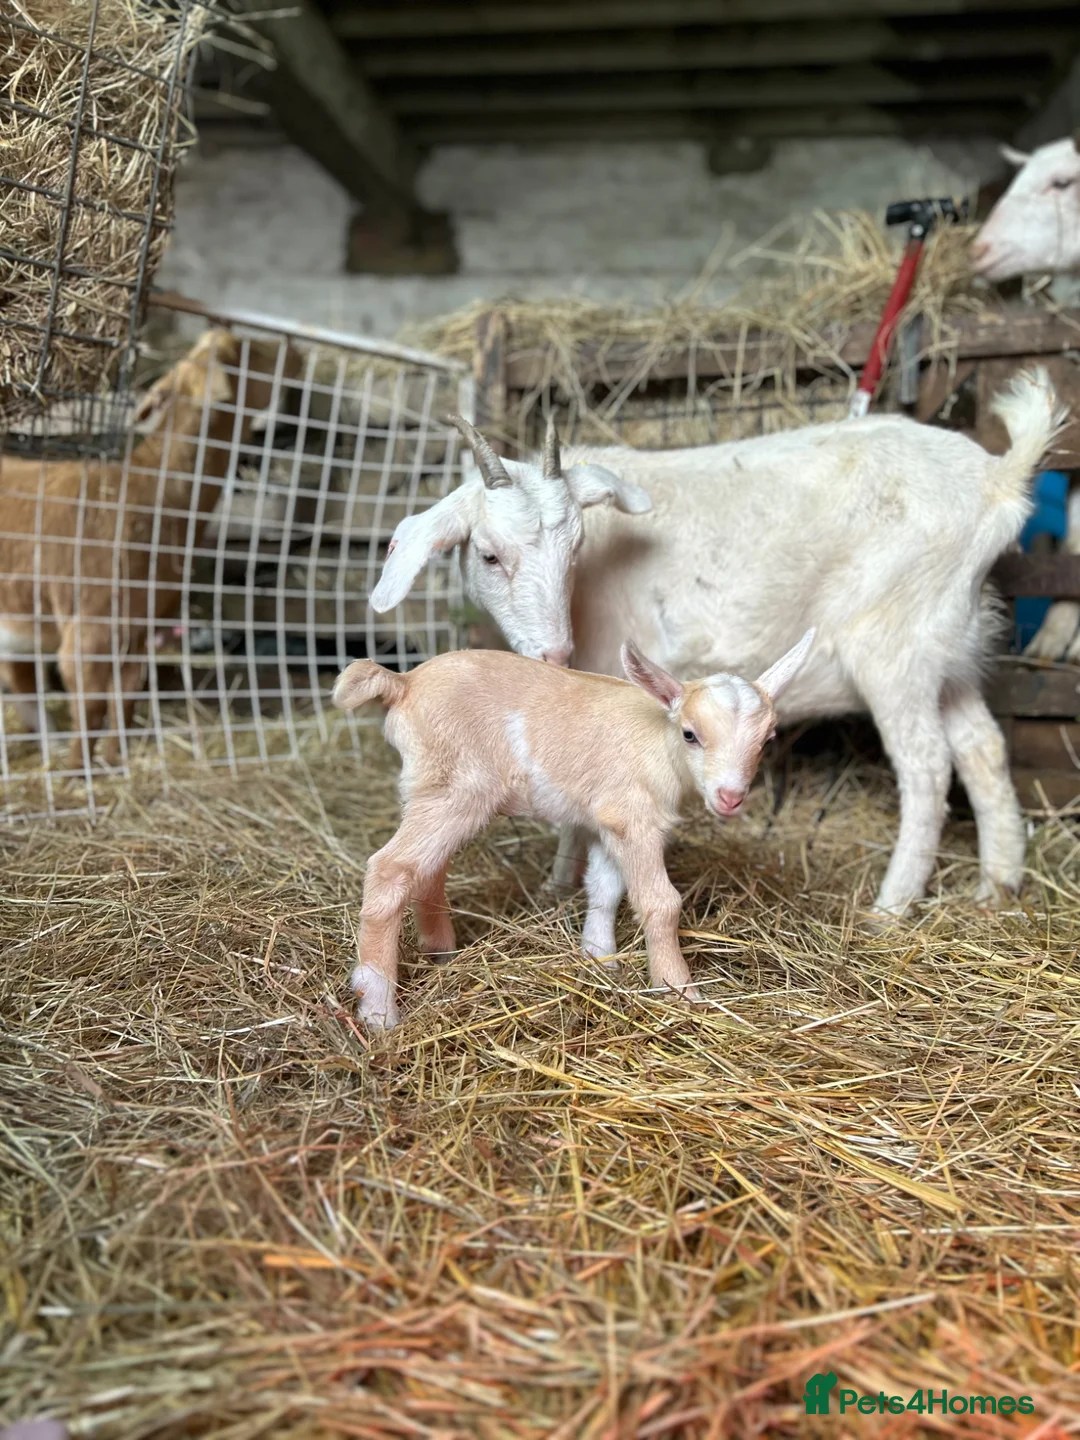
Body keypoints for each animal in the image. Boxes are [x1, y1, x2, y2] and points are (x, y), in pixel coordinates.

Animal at [0, 329, 300, 769]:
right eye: (247, 350)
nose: (296, 348)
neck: (152, 492)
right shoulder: (91, 628)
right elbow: (90, 705)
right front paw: (77, 773)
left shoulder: (139, 627)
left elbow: (126, 696)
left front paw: (115, 761)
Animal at [333, 631, 814, 1029]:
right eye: (690, 734)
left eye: (767, 741)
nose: (731, 797)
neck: (659, 741)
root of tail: (403, 682)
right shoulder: (635, 817)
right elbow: (660, 902)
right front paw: (679, 992)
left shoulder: (607, 819)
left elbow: (604, 888)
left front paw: (600, 958)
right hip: (456, 788)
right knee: (391, 868)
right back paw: (378, 1010)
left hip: (432, 789)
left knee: (427, 869)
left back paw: (441, 953)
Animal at [370, 371, 1062, 919]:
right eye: (490, 555)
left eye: (576, 550)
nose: (554, 655)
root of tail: (998, 482)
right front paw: (561, 886)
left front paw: (560, 883)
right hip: (949, 646)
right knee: (983, 750)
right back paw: (998, 885)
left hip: (893, 649)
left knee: (927, 765)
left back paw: (890, 909)